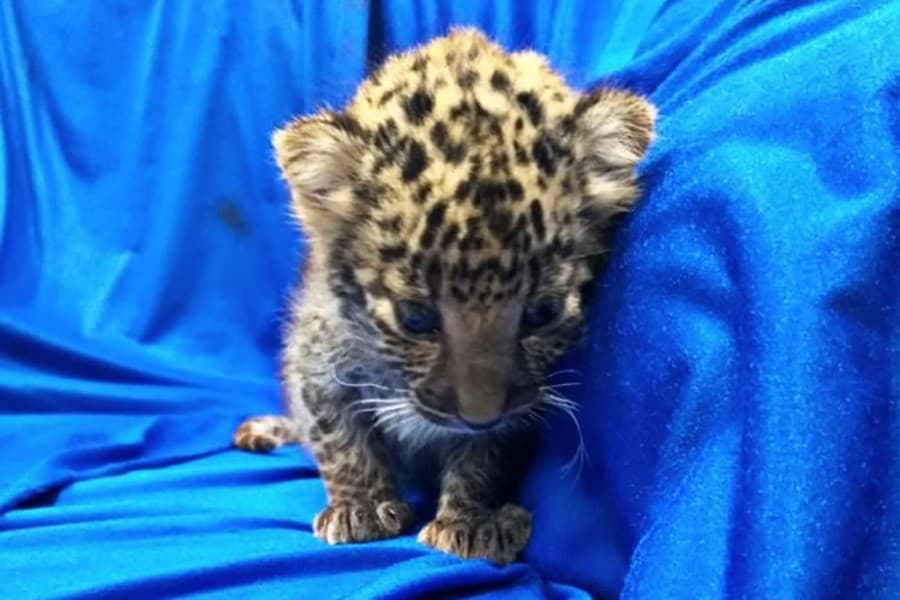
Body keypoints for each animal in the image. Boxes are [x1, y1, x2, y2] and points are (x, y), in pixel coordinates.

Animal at [234, 27, 655, 565]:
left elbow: (486, 455)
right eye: (415, 318)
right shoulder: (316, 358)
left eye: (541, 313)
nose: (478, 416)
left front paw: (471, 520)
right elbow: (336, 434)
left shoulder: (516, 416)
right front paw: (360, 507)